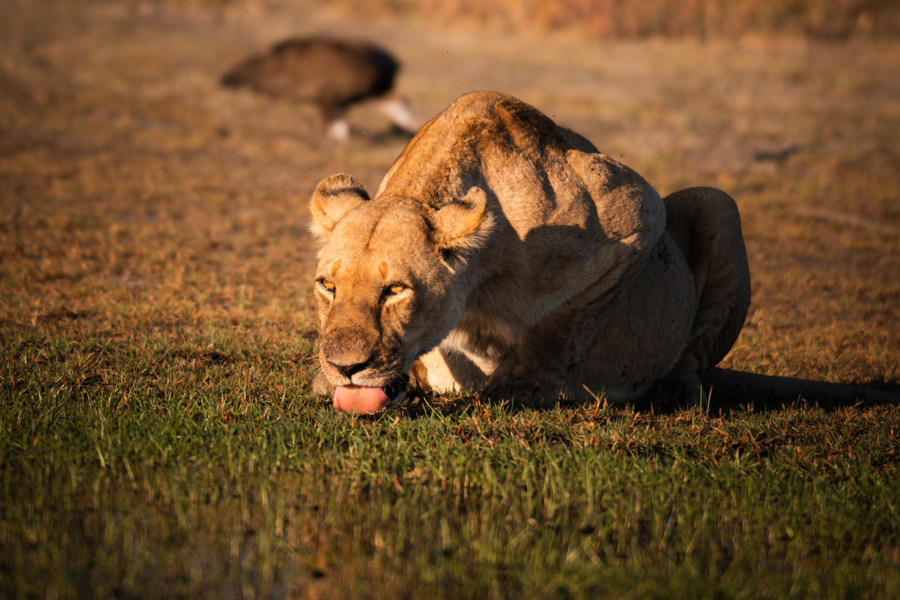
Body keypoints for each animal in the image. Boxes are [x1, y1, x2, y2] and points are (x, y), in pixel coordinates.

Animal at [309, 91, 751, 414]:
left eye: (396, 290)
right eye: (327, 286)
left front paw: (517, 387)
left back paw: (674, 390)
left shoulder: (638, 211)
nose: (346, 368)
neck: (479, 282)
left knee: (694, 352)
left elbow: (565, 321)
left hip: (719, 203)